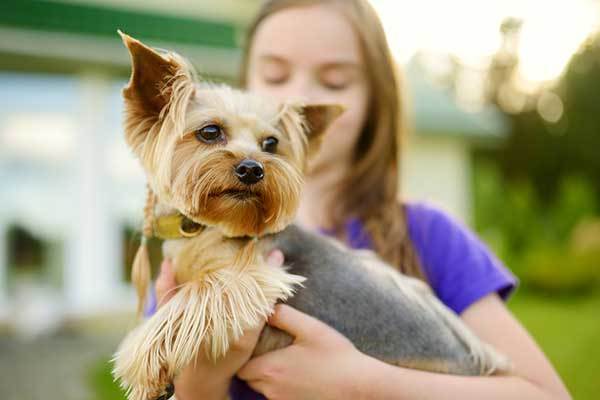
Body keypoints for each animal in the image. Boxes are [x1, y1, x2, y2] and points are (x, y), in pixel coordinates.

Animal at [113, 33, 510, 400]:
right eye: (210, 131)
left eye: (271, 144)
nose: (253, 168)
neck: (207, 227)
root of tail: (476, 360)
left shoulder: (257, 278)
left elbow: (200, 292)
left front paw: (142, 361)